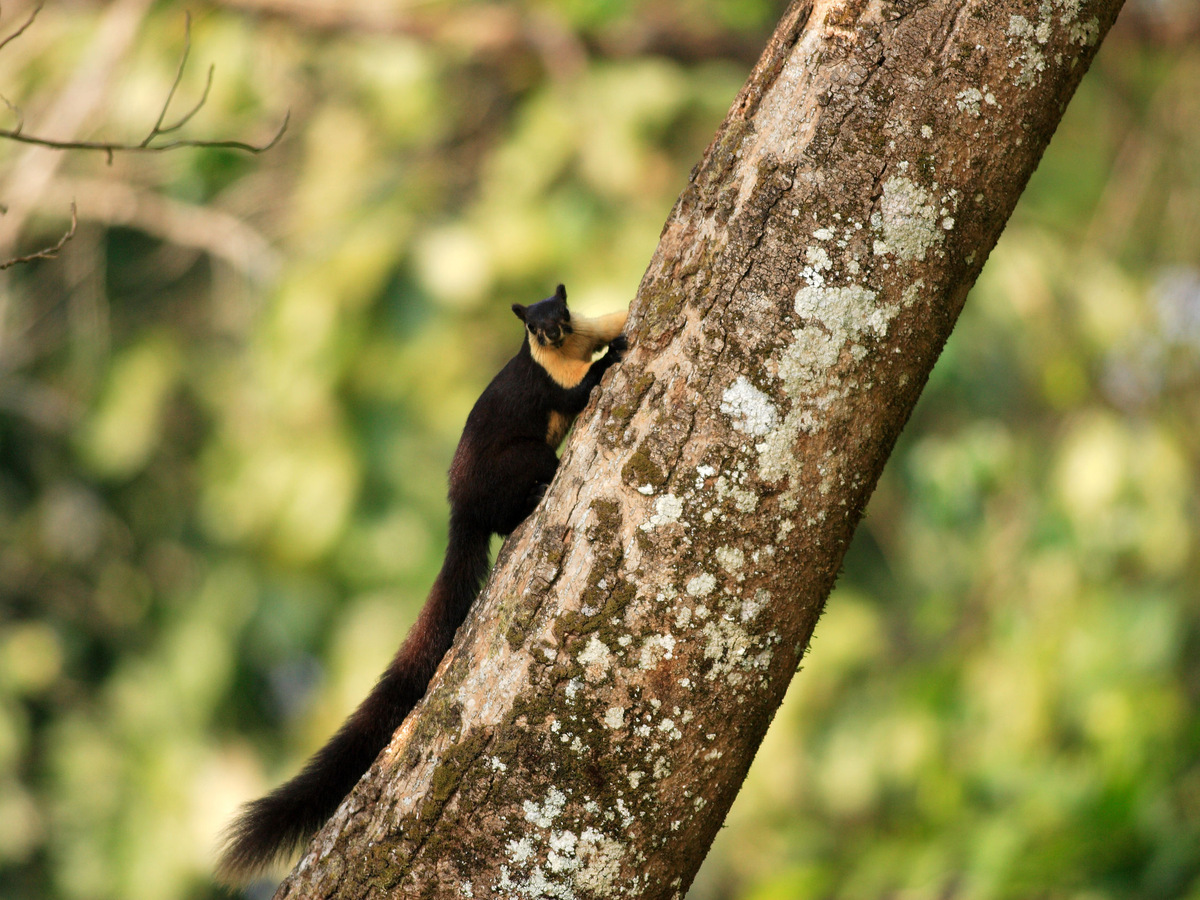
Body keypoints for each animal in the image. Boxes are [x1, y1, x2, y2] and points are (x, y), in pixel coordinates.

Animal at [217, 284, 628, 883]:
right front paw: (611, 360)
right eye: (532, 326)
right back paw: (536, 493)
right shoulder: (549, 380)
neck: (566, 349)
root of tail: (462, 511)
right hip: (521, 458)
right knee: (512, 506)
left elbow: (611, 319)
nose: (551, 333)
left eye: (561, 311)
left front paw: (621, 331)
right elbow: (575, 395)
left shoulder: (586, 327)